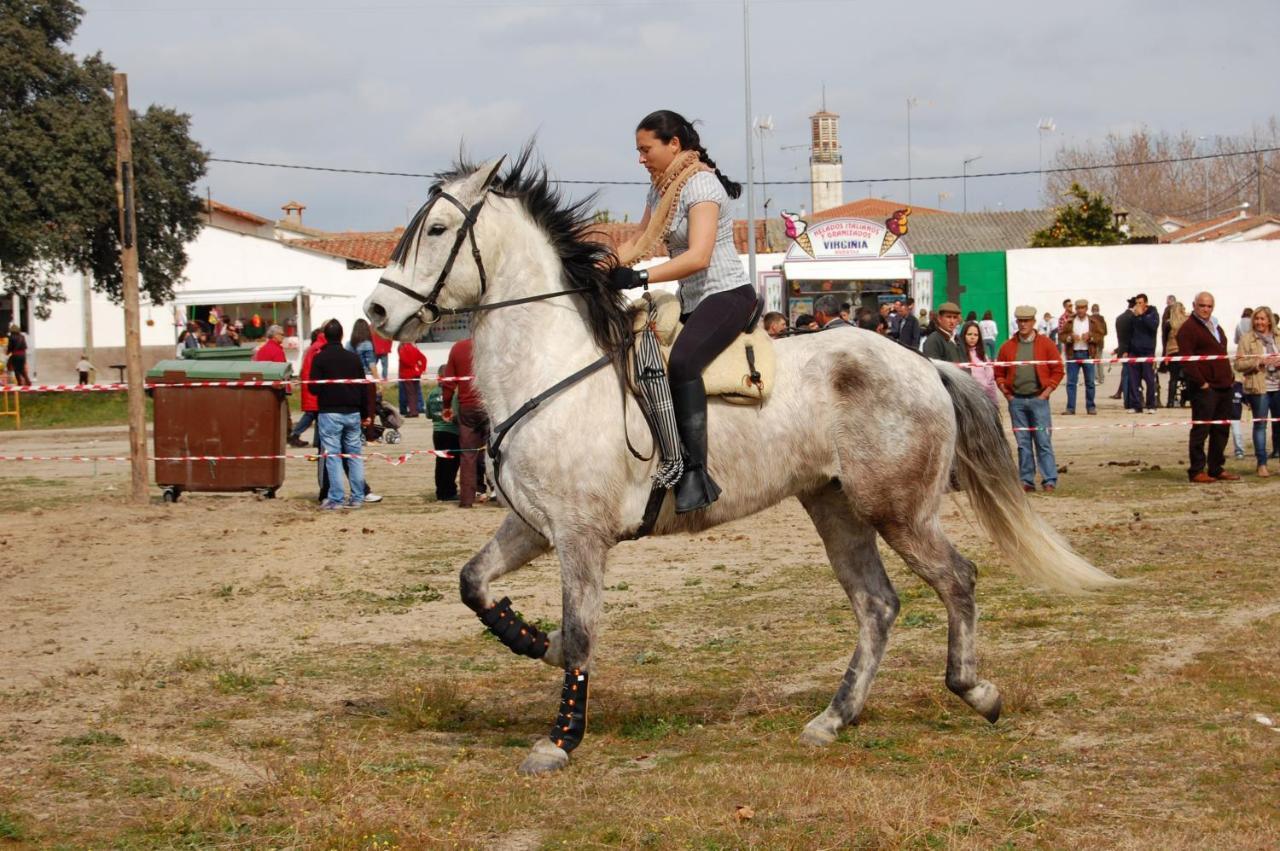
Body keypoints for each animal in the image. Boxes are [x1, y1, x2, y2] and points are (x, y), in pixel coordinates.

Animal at [366, 152, 1116, 778]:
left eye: (437, 229)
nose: (375, 310)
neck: (552, 367)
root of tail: (925, 363)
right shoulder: (532, 525)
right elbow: (473, 584)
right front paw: (531, 638)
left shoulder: (580, 535)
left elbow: (581, 634)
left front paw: (560, 736)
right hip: (835, 507)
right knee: (877, 605)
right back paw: (832, 719)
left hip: (897, 510)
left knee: (956, 579)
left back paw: (976, 691)